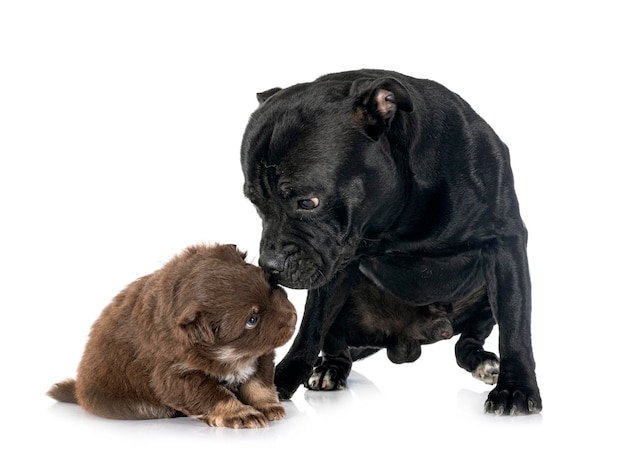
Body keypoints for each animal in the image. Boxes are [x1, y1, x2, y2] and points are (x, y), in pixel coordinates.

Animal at [47, 244, 296, 428]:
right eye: (251, 320)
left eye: (271, 286)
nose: (294, 317)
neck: (230, 355)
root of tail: (78, 391)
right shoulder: (175, 374)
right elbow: (213, 394)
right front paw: (241, 413)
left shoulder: (261, 355)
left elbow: (259, 383)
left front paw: (268, 406)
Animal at [240, 69, 540, 416]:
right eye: (255, 203)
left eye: (308, 202)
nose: (268, 265)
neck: (398, 217)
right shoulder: (336, 263)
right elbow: (312, 325)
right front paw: (280, 380)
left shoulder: (505, 245)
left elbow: (515, 325)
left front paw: (516, 388)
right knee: (336, 343)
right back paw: (330, 369)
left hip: (483, 295)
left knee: (467, 341)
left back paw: (483, 362)